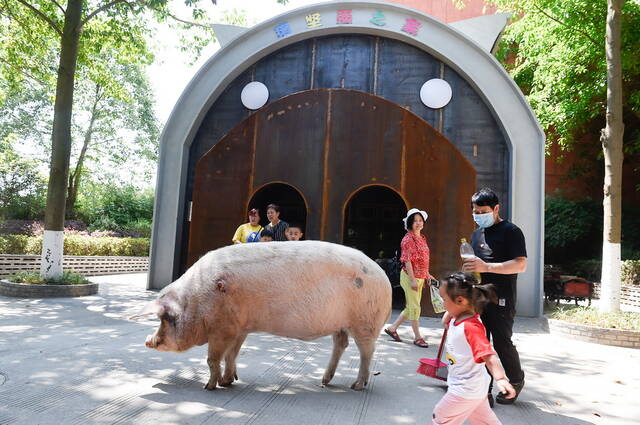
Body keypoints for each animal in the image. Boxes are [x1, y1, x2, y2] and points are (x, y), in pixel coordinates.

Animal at [131, 240, 390, 390]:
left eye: (165, 319)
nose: (147, 340)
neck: (194, 302)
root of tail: (385, 278)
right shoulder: (239, 328)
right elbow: (231, 355)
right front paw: (229, 381)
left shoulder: (222, 329)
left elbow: (213, 358)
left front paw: (209, 387)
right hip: (342, 323)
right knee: (341, 344)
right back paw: (324, 381)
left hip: (365, 321)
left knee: (367, 351)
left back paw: (357, 386)